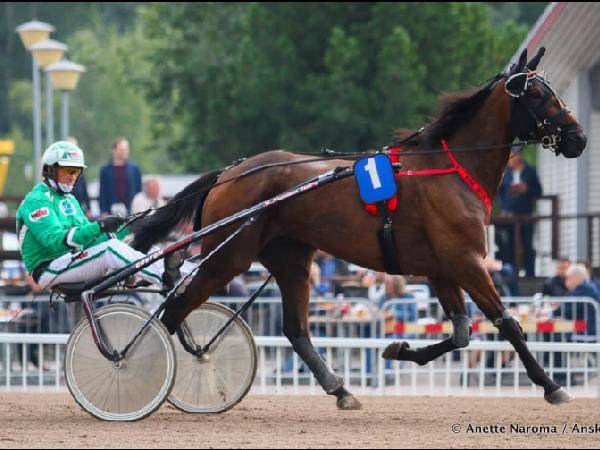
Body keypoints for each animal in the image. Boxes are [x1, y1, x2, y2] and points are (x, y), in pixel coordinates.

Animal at [131, 47, 587, 410]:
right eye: (537, 94)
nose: (578, 138)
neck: (452, 169)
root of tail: (229, 173)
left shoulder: (442, 269)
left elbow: (460, 334)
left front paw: (399, 348)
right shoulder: (467, 262)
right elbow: (508, 324)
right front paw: (551, 385)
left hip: (290, 258)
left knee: (294, 330)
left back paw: (341, 389)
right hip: (229, 255)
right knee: (174, 307)